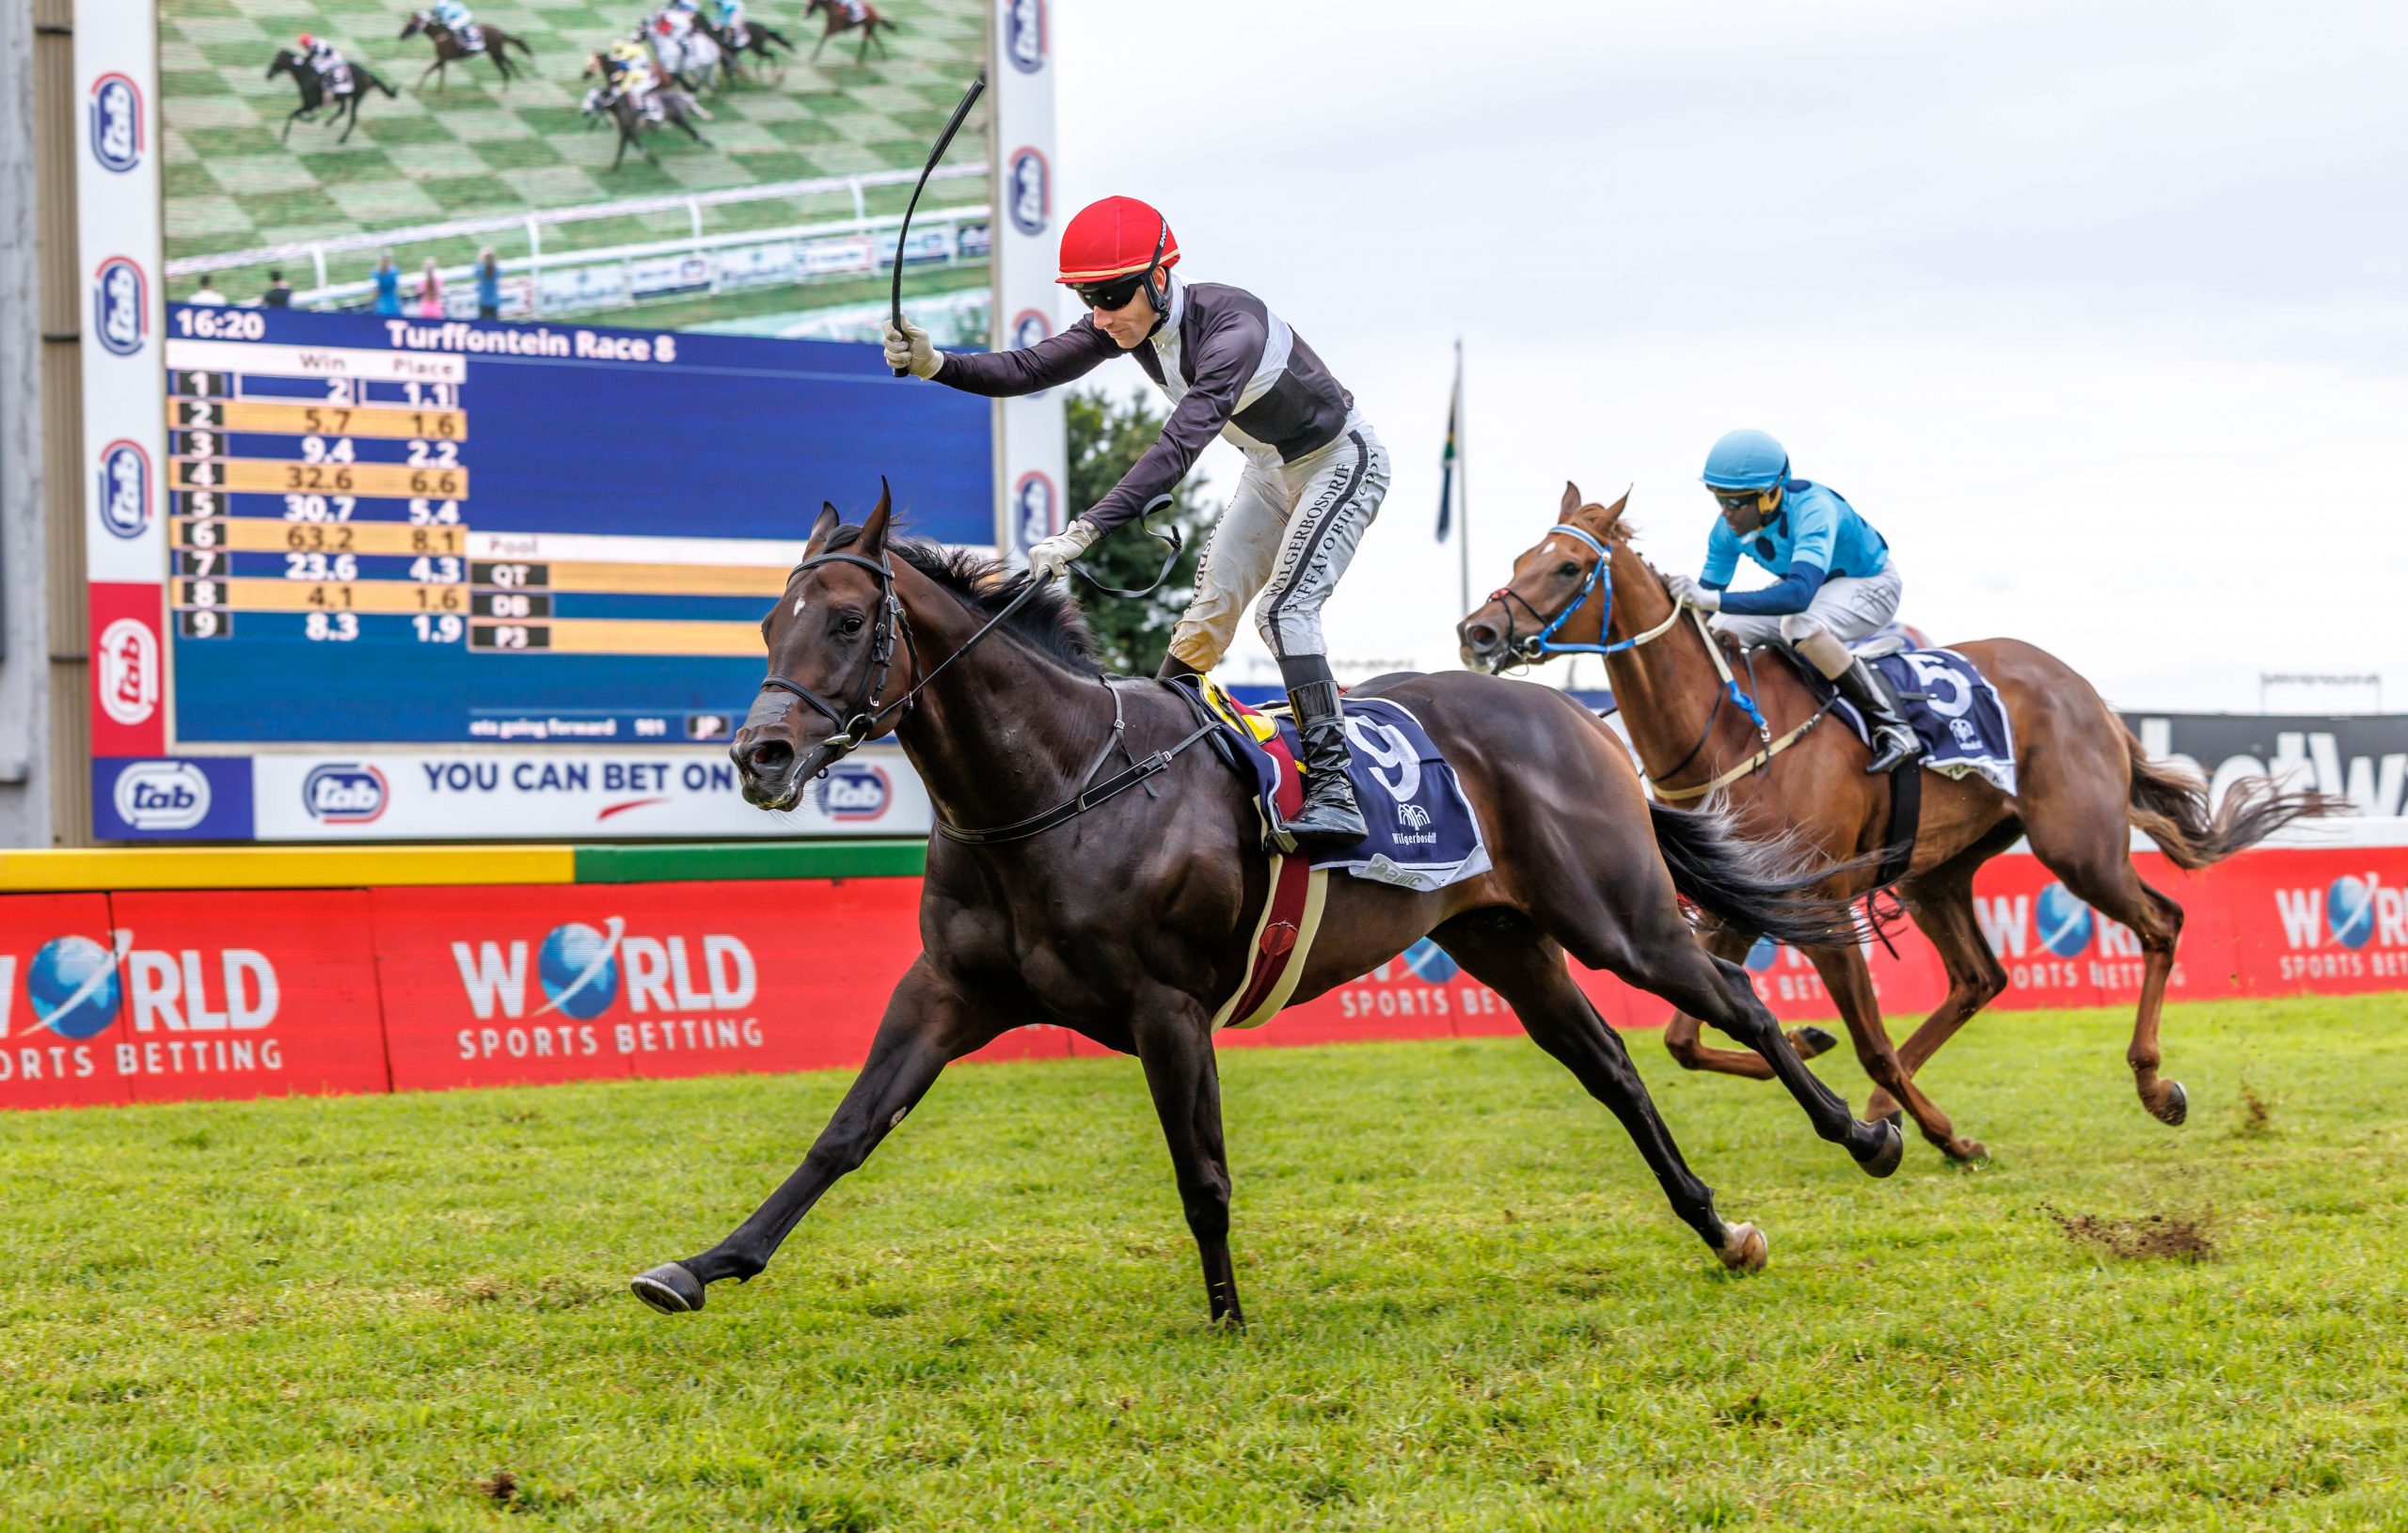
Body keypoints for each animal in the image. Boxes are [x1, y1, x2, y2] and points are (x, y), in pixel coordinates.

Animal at [630, 485, 1907, 1328]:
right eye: (769, 624)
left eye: (849, 622)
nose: (760, 753)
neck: (1055, 783)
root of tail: (1574, 716)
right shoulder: (948, 990)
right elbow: (844, 1132)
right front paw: (698, 1264)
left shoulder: (1165, 1006)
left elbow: (1201, 1172)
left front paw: (1228, 1319)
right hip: (1504, 939)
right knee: (1615, 1073)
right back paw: (1717, 1225)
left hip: (1616, 916)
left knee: (1735, 998)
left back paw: (1869, 1133)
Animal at [1454, 485, 2340, 1160]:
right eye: (1518, 559)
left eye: (1568, 566)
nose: (1479, 631)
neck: (1731, 732)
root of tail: (2081, 688)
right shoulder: (1741, 901)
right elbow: (1685, 1039)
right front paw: (1819, 1055)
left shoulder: (1816, 905)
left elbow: (1870, 1039)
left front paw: (1945, 1135)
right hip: (1934, 872)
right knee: (1980, 978)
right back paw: (1891, 1105)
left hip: (2078, 846)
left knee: (2161, 922)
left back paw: (2155, 1085)